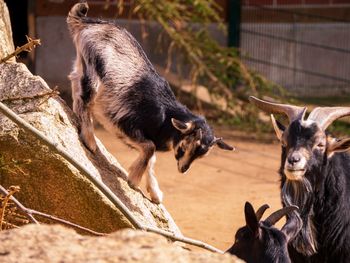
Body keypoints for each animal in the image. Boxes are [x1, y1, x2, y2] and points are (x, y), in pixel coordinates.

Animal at [66, 2, 234, 204]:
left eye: (202, 154)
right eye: (186, 146)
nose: (183, 169)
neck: (166, 116)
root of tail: (88, 22)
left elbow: (151, 159)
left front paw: (155, 193)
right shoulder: (124, 122)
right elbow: (150, 148)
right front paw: (133, 179)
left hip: (82, 63)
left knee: (75, 83)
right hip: (94, 68)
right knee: (85, 97)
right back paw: (90, 140)